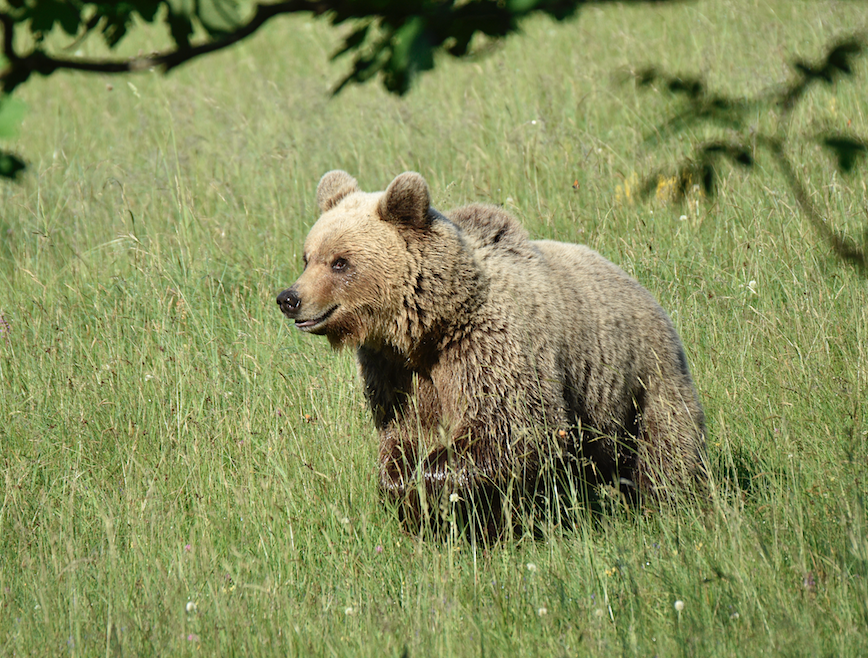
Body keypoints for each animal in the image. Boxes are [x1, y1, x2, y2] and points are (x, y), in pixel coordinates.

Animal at [278, 170, 704, 532]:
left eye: (340, 262)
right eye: (307, 256)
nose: (289, 298)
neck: (433, 324)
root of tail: (641, 288)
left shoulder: (490, 347)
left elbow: (509, 432)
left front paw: (429, 487)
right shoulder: (396, 370)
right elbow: (404, 432)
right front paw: (404, 486)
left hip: (643, 377)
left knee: (666, 449)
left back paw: (669, 504)